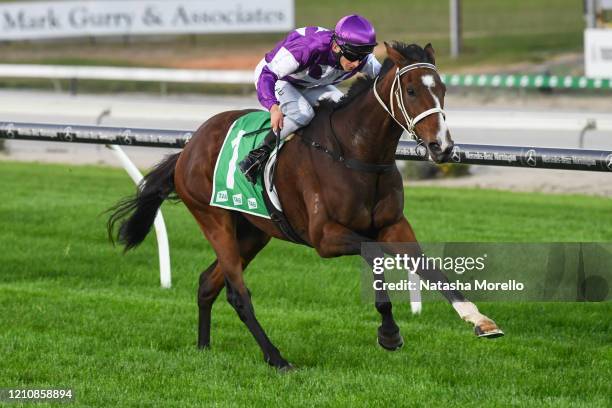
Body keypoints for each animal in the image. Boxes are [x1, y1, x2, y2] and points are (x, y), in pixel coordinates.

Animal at [109, 41, 502, 370]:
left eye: (443, 89)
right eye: (411, 90)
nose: (442, 148)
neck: (355, 152)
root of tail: (189, 146)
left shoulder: (394, 225)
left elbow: (432, 268)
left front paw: (480, 320)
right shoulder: (325, 237)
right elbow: (373, 253)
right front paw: (389, 333)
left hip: (253, 231)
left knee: (208, 283)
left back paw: (204, 348)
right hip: (214, 220)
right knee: (238, 293)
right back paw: (276, 358)